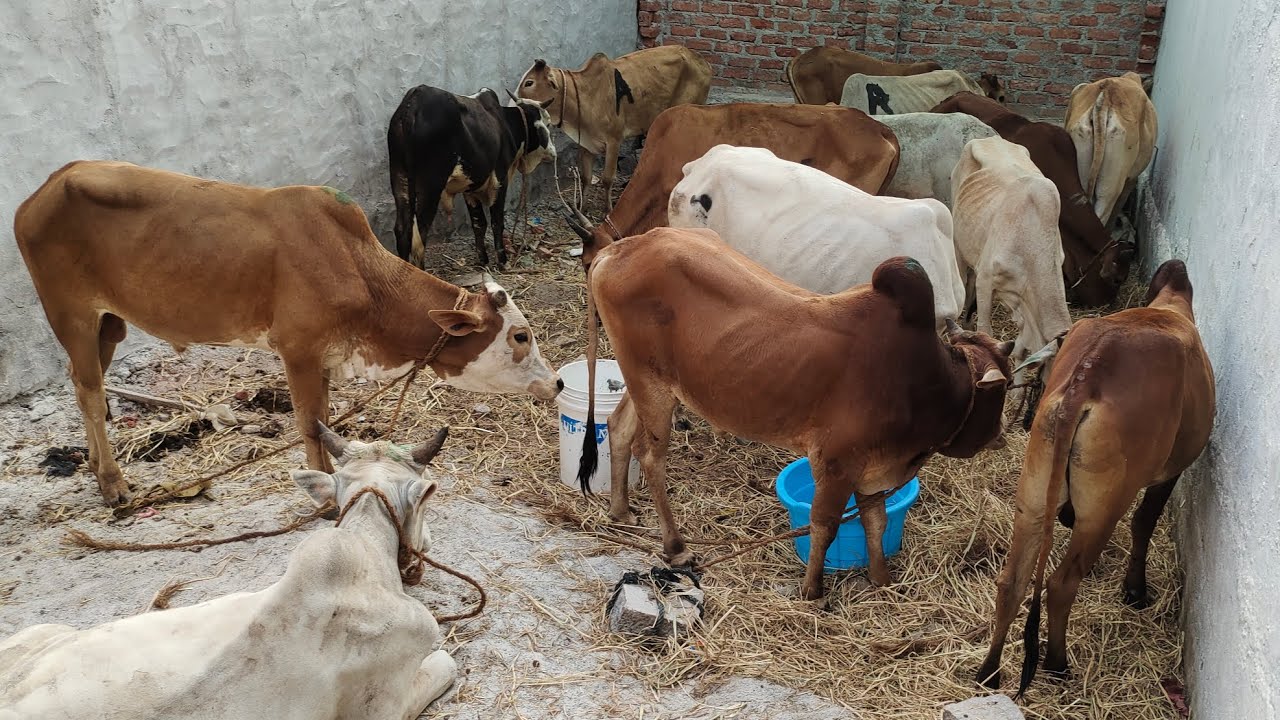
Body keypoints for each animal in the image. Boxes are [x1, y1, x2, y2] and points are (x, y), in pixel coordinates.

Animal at [14, 161, 563, 507]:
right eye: (520, 337)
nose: (556, 382)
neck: (360, 269)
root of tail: (43, 190)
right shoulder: (297, 352)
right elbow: (310, 425)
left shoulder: (324, 358)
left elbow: (325, 421)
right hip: (73, 316)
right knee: (90, 394)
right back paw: (113, 484)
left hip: (109, 325)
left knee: (85, 385)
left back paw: (94, 467)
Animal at [388, 85, 556, 268]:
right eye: (547, 123)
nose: (553, 152)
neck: (505, 123)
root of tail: (412, 105)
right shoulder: (499, 179)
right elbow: (497, 222)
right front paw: (502, 261)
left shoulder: (471, 189)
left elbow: (479, 223)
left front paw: (483, 260)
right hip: (430, 186)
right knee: (419, 236)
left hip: (400, 179)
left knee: (402, 230)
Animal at [516, 46, 712, 210]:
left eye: (529, 82)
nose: (515, 104)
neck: (585, 94)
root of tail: (701, 59)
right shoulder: (585, 142)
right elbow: (586, 177)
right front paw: (581, 207)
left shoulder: (614, 141)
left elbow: (607, 179)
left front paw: (608, 209)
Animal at [577, 228, 1014, 601]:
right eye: (1005, 387)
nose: (1000, 434)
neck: (927, 381)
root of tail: (621, 248)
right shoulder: (836, 464)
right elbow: (825, 525)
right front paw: (813, 591)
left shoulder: (873, 471)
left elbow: (875, 522)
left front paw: (882, 579)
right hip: (651, 383)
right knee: (652, 458)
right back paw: (677, 547)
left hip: (648, 381)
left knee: (617, 428)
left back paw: (620, 511)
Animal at [974, 259, 1214, 696]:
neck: (1169, 306)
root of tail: (1089, 374)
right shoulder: (1170, 471)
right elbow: (1144, 522)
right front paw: (1135, 590)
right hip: (1102, 510)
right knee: (1061, 583)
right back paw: (1056, 663)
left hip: (1033, 497)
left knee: (1011, 582)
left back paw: (989, 671)